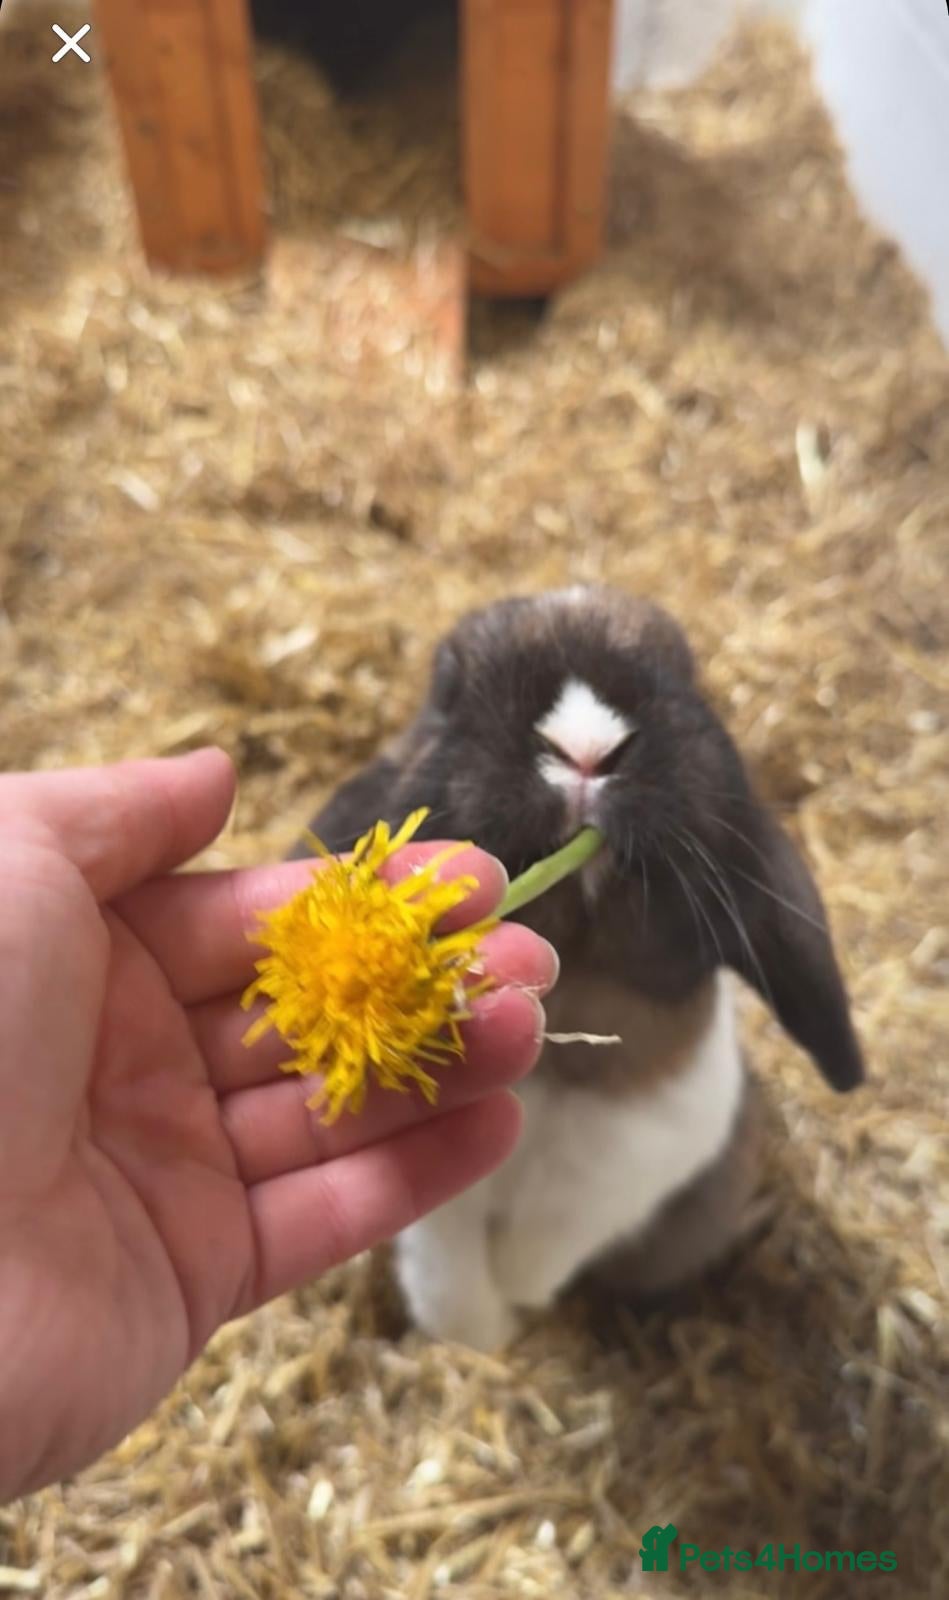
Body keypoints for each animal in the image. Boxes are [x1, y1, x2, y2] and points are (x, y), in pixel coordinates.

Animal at [293, 586, 865, 1350]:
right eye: (447, 683)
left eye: (686, 677)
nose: (586, 751)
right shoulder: (441, 1207)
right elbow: (448, 1270)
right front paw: (473, 1340)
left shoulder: (620, 1178)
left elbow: (543, 1250)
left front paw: (517, 1306)